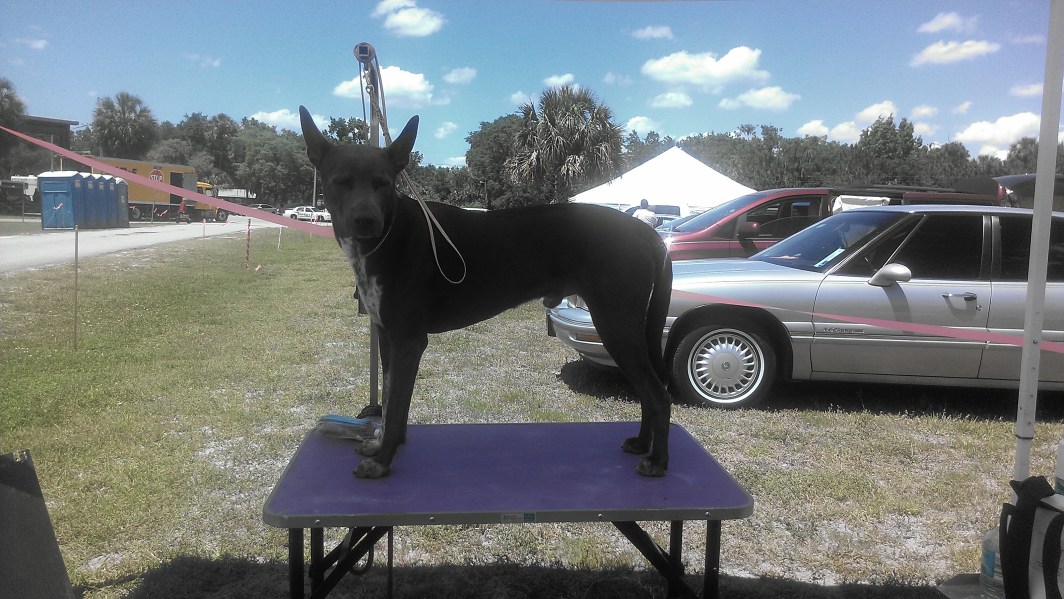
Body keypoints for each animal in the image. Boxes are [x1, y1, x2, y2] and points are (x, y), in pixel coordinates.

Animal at [299, 106, 674, 479]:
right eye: (340, 182)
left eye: (384, 184)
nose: (366, 220)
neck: (390, 234)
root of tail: (643, 231)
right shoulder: (387, 336)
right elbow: (390, 399)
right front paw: (382, 446)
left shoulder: (408, 340)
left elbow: (396, 406)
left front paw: (383, 459)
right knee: (647, 390)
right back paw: (642, 443)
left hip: (616, 324)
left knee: (657, 394)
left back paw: (658, 460)